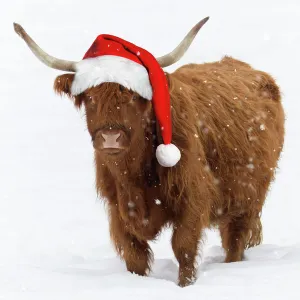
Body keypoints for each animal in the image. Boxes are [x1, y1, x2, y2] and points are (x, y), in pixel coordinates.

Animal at [13, 17, 284, 288]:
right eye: (89, 97)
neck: (133, 174)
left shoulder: (192, 196)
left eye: (133, 96)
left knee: (235, 238)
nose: (110, 137)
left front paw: (185, 285)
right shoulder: (118, 209)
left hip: (249, 196)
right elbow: (134, 254)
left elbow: (183, 246)